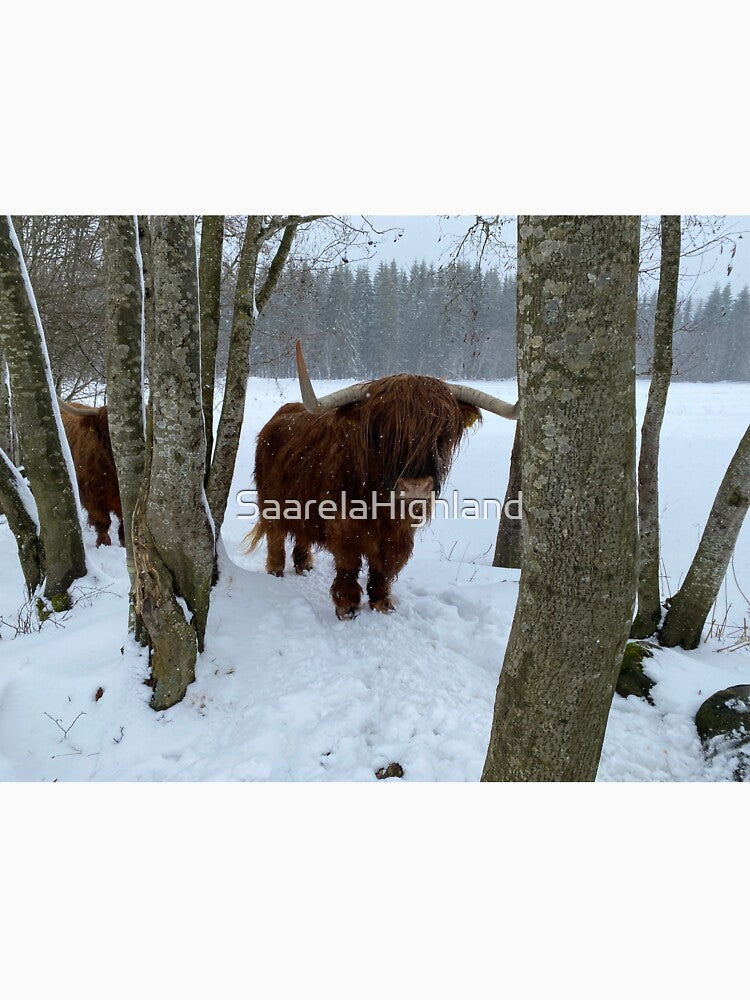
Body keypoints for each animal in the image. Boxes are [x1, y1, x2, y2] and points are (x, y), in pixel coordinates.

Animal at [245, 341, 518, 619]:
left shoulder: (400, 531)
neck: (380, 502)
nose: (416, 486)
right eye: (382, 430)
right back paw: (275, 570)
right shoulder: (343, 525)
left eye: (442, 431)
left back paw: (305, 565)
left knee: (301, 533)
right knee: (275, 534)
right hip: (270, 500)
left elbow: (385, 567)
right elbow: (348, 563)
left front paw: (381, 603)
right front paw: (347, 606)